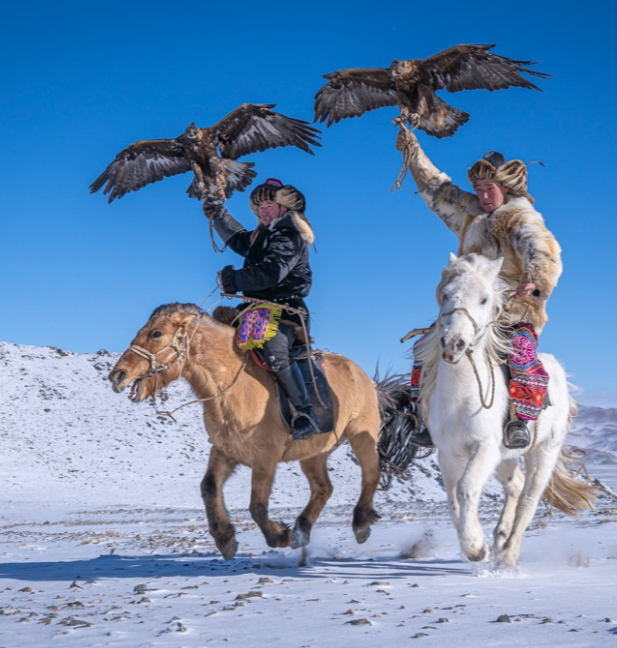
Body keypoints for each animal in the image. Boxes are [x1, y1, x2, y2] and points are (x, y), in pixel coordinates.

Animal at [108, 302, 415, 559]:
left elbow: (257, 505)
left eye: (156, 333)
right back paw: (302, 530)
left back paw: (359, 524)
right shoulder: (225, 450)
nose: (117, 376)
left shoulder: (265, 456)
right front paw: (225, 539)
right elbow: (208, 487)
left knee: (370, 473)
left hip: (362, 434)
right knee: (323, 488)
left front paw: (279, 536)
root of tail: (368, 381)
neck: (232, 388)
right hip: (314, 452)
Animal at [414, 253, 595, 568]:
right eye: (446, 294)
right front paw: (478, 546)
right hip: (505, 458)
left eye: (485, 299)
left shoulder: (484, 447)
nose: (453, 344)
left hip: (543, 452)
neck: (461, 398)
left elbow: (466, 488)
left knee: (528, 498)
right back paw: (499, 539)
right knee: (515, 485)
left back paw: (508, 556)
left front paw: (476, 547)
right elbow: (453, 498)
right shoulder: (449, 452)